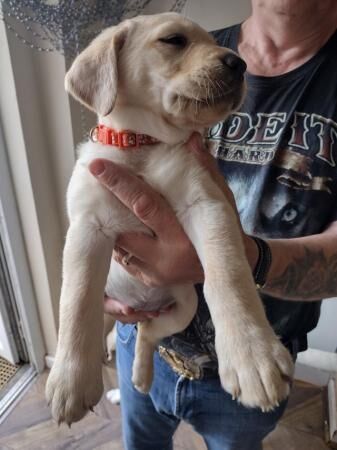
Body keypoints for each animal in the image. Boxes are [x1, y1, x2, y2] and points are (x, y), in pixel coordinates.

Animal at [46, 11, 292, 426]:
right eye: (174, 40)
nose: (239, 64)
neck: (141, 146)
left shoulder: (207, 206)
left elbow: (228, 276)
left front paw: (253, 355)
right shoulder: (87, 227)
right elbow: (76, 302)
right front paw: (70, 383)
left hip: (183, 308)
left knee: (149, 332)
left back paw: (140, 375)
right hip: (116, 306)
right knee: (116, 325)